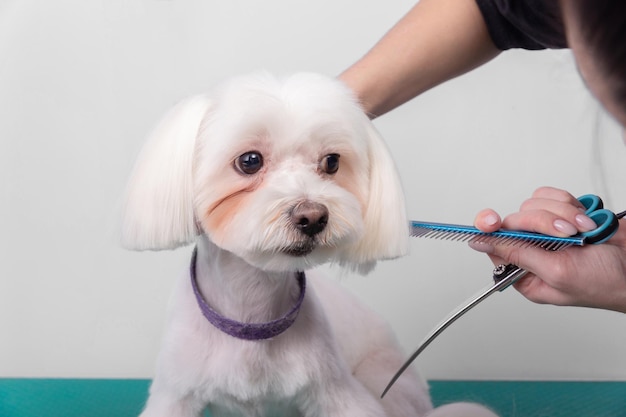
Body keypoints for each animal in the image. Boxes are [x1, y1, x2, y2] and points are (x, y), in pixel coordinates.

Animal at [123, 72, 498, 416]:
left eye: (331, 162)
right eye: (249, 161)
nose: (313, 217)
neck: (252, 316)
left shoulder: (336, 390)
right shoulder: (175, 393)